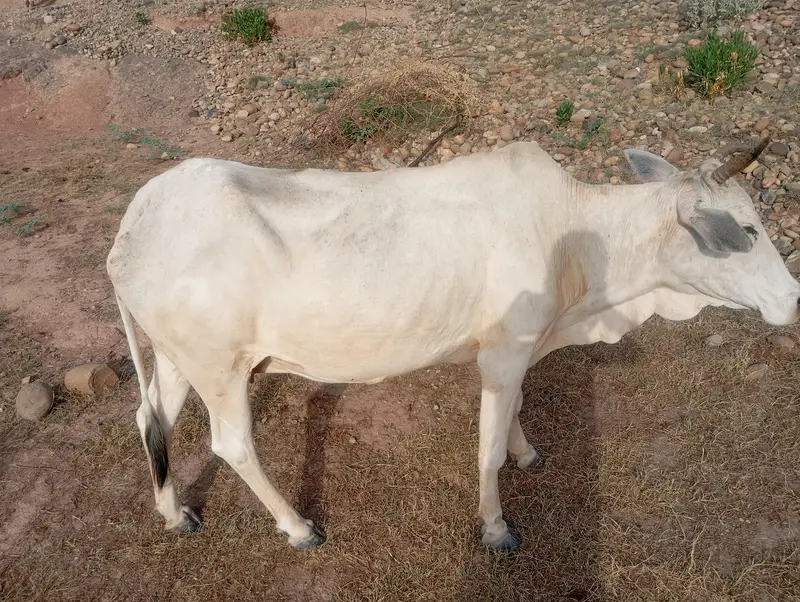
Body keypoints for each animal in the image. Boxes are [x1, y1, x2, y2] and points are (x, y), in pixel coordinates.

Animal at [106, 135, 798, 550]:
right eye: (745, 229)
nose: (792, 298)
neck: (579, 245)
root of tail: (134, 225)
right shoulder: (505, 352)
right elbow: (486, 451)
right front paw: (495, 527)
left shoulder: (520, 351)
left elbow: (513, 418)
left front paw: (527, 453)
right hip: (221, 370)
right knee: (231, 445)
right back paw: (297, 527)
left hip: (180, 360)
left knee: (150, 417)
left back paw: (174, 513)